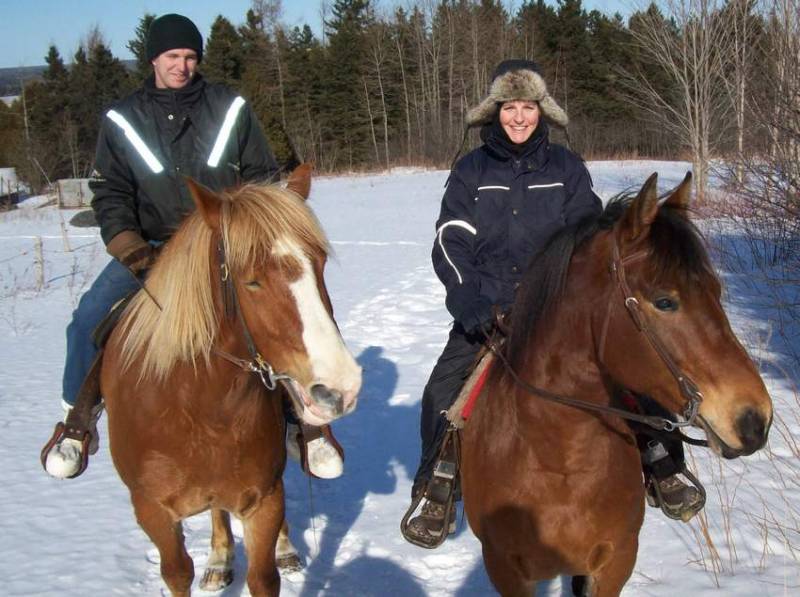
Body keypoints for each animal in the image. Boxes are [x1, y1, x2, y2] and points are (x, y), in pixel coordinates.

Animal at [100, 165, 362, 597]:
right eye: (251, 281)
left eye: (319, 262)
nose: (341, 388)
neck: (200, 406)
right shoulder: (153, 511)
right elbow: (177, 573)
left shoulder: (264, 499)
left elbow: (263, 577)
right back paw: (220, 559)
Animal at [459, 173, 773, 596]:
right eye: (665, 301)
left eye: (717, 291)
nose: (755, 419)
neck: (559, 459)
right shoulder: (506, 569)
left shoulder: (616, 561)